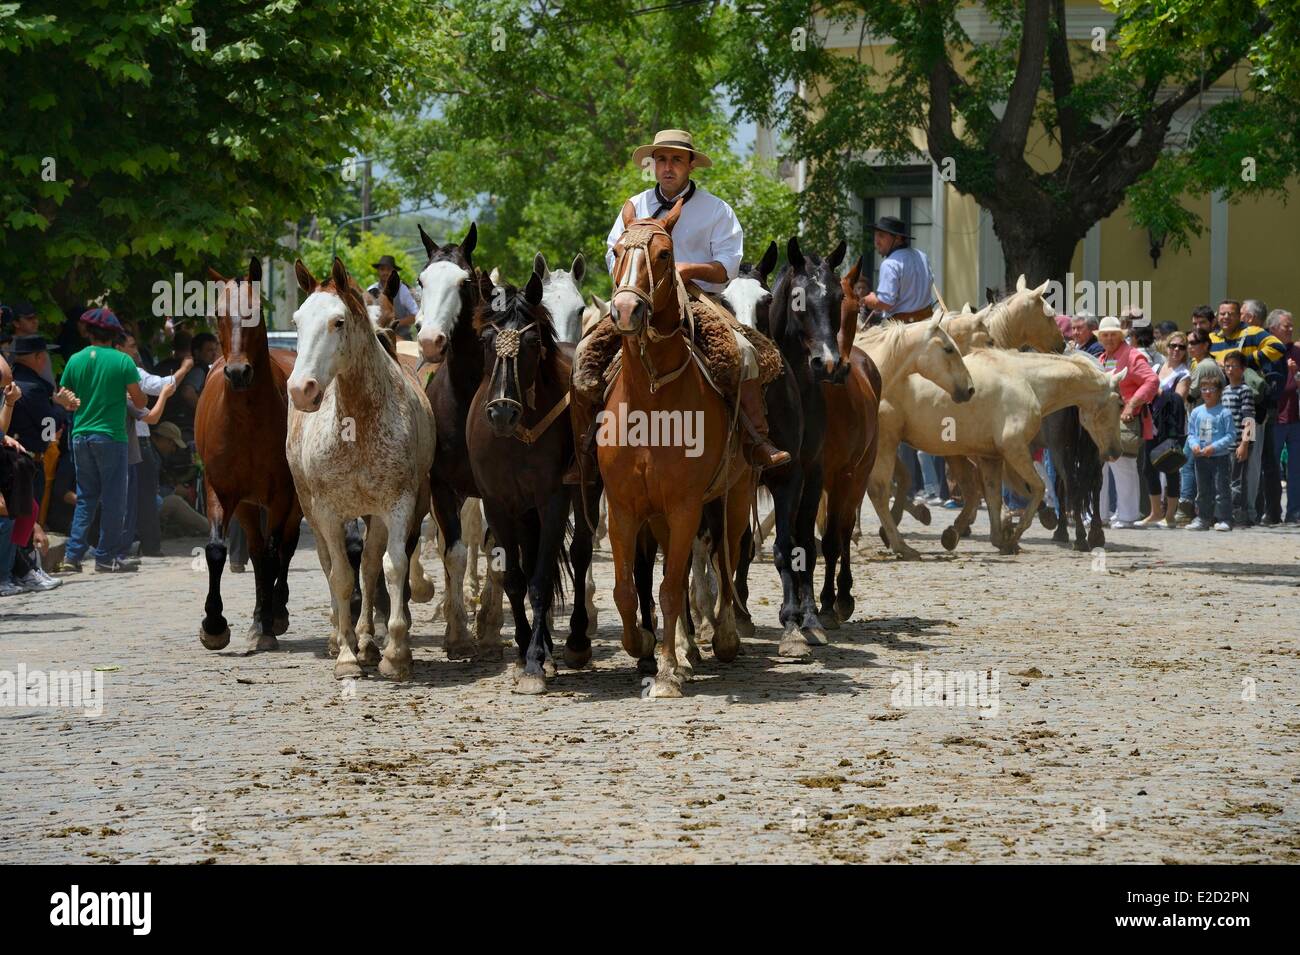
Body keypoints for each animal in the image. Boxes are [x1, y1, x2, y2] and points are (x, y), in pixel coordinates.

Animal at [194, 257, 303, 653]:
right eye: (217, 312)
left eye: (255, 311)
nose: (238, 372)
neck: (246, 422)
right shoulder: (220, 490)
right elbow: (216, 550)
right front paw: (214, 624)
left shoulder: (282, 494)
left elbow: (274, 554)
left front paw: (269, 622)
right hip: (245, 503)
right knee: (256, 550)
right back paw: (259, 617)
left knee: (282, 549)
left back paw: (275, 613)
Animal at [286, 257, 435, 680]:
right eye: (297, 320)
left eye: (338, 322)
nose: (301, 389)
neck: (357, 424)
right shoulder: (327, 511)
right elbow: (339, 575)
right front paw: (346, 657)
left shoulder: (396, 505)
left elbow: (390, 566)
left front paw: (395, 653)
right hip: (311, 511)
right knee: (330, 566)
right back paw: (341, 637)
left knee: (369, 569)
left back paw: (369, 641)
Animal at [467, 273, 598, 693]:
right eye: (485, 340)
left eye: (532, 342)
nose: (502, 412)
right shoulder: (498, 504)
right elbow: (514, 578)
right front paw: (527, 647)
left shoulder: (552, 499)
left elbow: (539, 578)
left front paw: (536, 663)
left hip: (585, 491)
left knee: (579, 553)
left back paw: (574, 641)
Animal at [600, 197, 755, 698]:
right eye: (616, 251)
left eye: (665, 255)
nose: (626, 310)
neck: (652, 402)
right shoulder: (625, 508)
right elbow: (628, 589)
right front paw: (646, 647)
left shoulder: (687, 504)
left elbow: (671, 588)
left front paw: (666, 674)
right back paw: (687, 650)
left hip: (736, 494)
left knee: (726, 559)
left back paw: (723, 637)